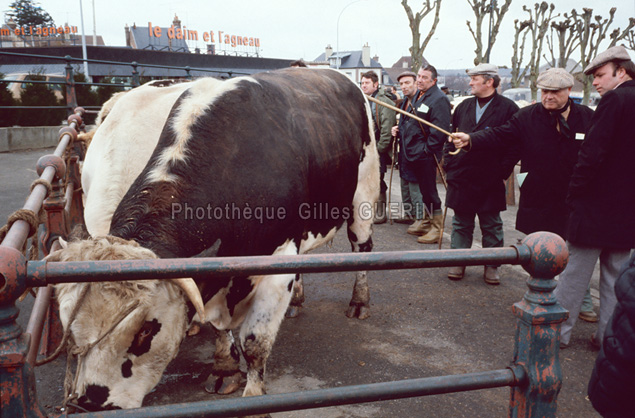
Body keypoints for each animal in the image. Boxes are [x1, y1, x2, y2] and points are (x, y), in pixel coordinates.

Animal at [49, 68, 380, 412]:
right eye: (68, 325)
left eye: (145, 330)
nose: (89, 403)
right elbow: (218, 325)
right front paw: (224, 367)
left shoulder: (278, 265)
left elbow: (255, 345)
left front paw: (253, 400)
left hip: (363, 196)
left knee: (362, 247)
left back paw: (359, 301)